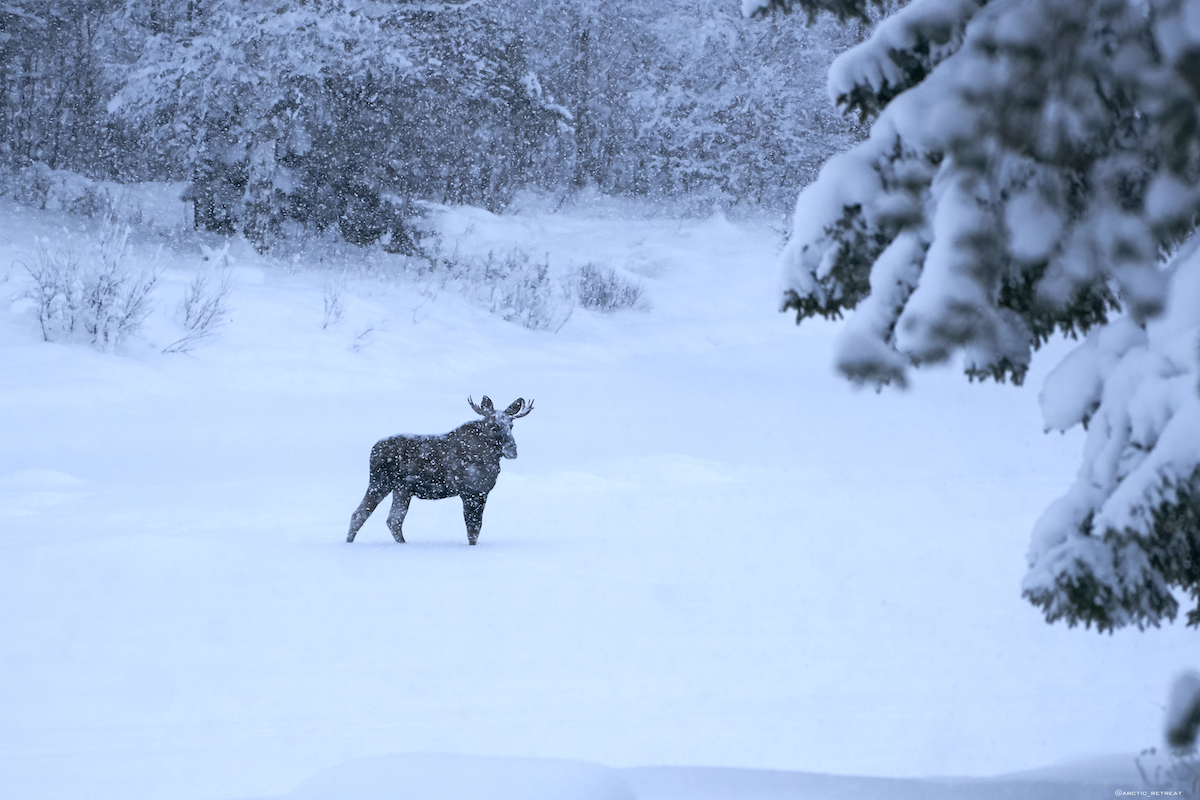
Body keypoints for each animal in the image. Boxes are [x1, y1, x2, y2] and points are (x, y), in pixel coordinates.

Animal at [348, 398, 535, 546]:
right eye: (494, 426)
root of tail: (373, 448)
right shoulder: (471, 492)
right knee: (360, 514)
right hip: (380, 482)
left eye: (511, 425)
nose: (512, 450)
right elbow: (473, 529)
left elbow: (475, 529)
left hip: (402, 490)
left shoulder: (481, 492)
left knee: (393, 520)